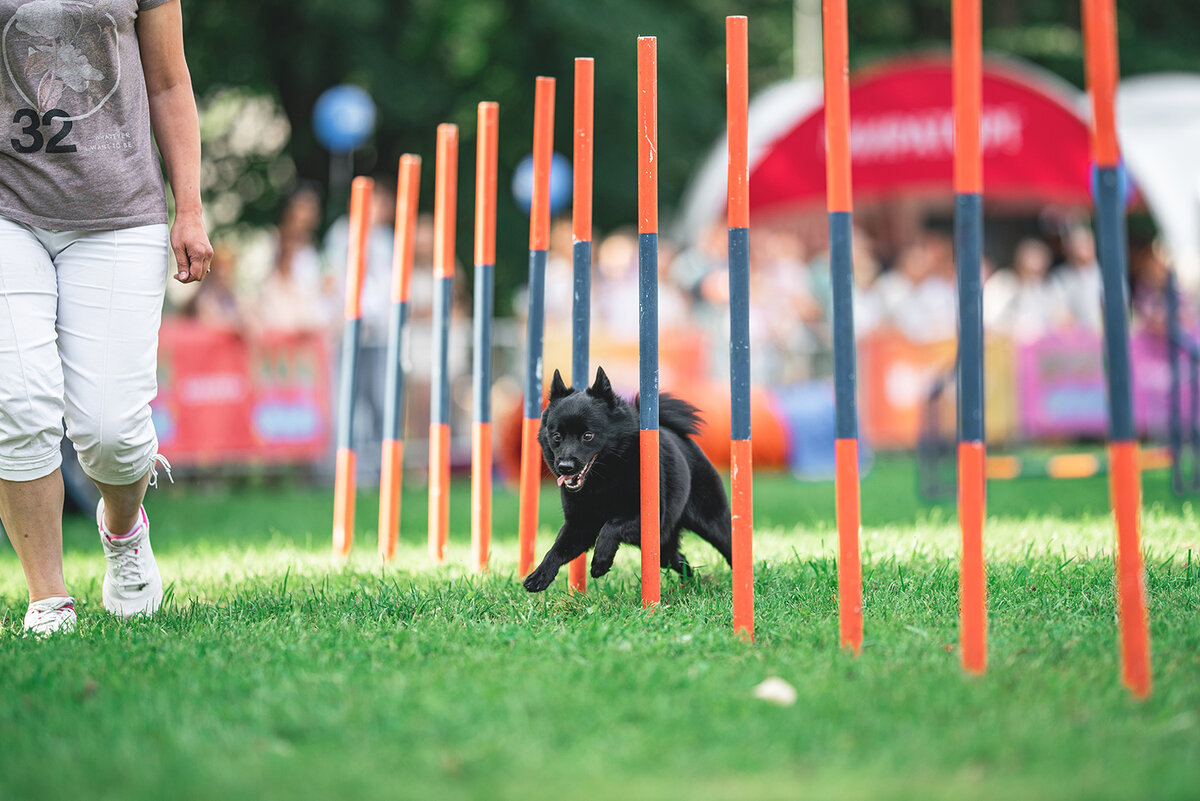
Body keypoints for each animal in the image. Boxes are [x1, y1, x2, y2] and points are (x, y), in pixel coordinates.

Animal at [523, 366, 734, 592]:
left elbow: (612, 525)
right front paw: (539, 575)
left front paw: (601, 561)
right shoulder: (579, 526)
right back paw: (690, 584)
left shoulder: (646, 516)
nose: (565, 466)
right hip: (661, 546)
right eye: (557, 436)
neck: (603, 482)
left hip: (712, 521)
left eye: (588, 436)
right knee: (680, 559)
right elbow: (556, 549)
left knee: (729, 545)